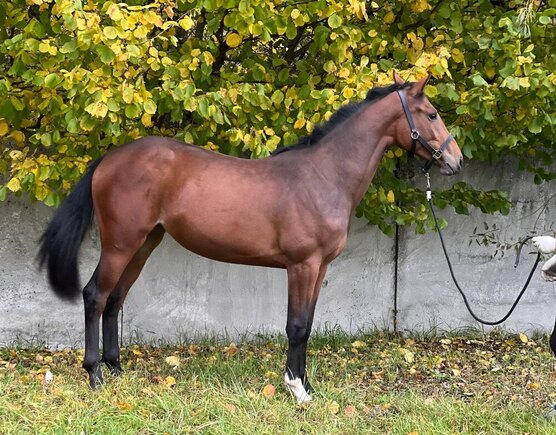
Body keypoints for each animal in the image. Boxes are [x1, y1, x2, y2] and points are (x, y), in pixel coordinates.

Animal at [38, 72, 463, 404]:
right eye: (432, 114)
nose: (456, 161)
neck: (324, 175)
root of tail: (109, 159)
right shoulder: (302, 265)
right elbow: (297, 326)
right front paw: (297, 390)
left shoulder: (319, 267)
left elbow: (308, 325)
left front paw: (307, 385)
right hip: (121, 245)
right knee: (95, 296)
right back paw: (95, 376)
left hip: (143, 244)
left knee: (115, 300)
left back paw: (117, 371)